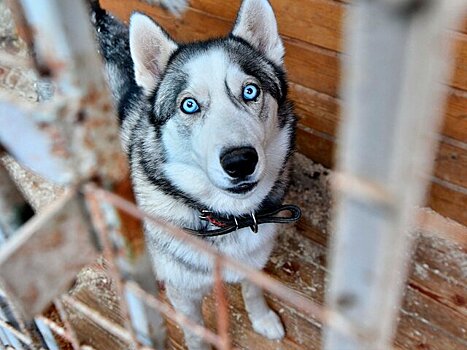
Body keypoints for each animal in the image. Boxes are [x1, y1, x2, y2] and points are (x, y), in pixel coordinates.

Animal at [92, 1, 298, 348]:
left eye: (250, 91)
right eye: (189, 105)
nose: (240, 161)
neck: (228, 219)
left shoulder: (254, 261)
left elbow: (253, 290)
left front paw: (262, 319)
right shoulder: (185, 293)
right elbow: (196, 332)